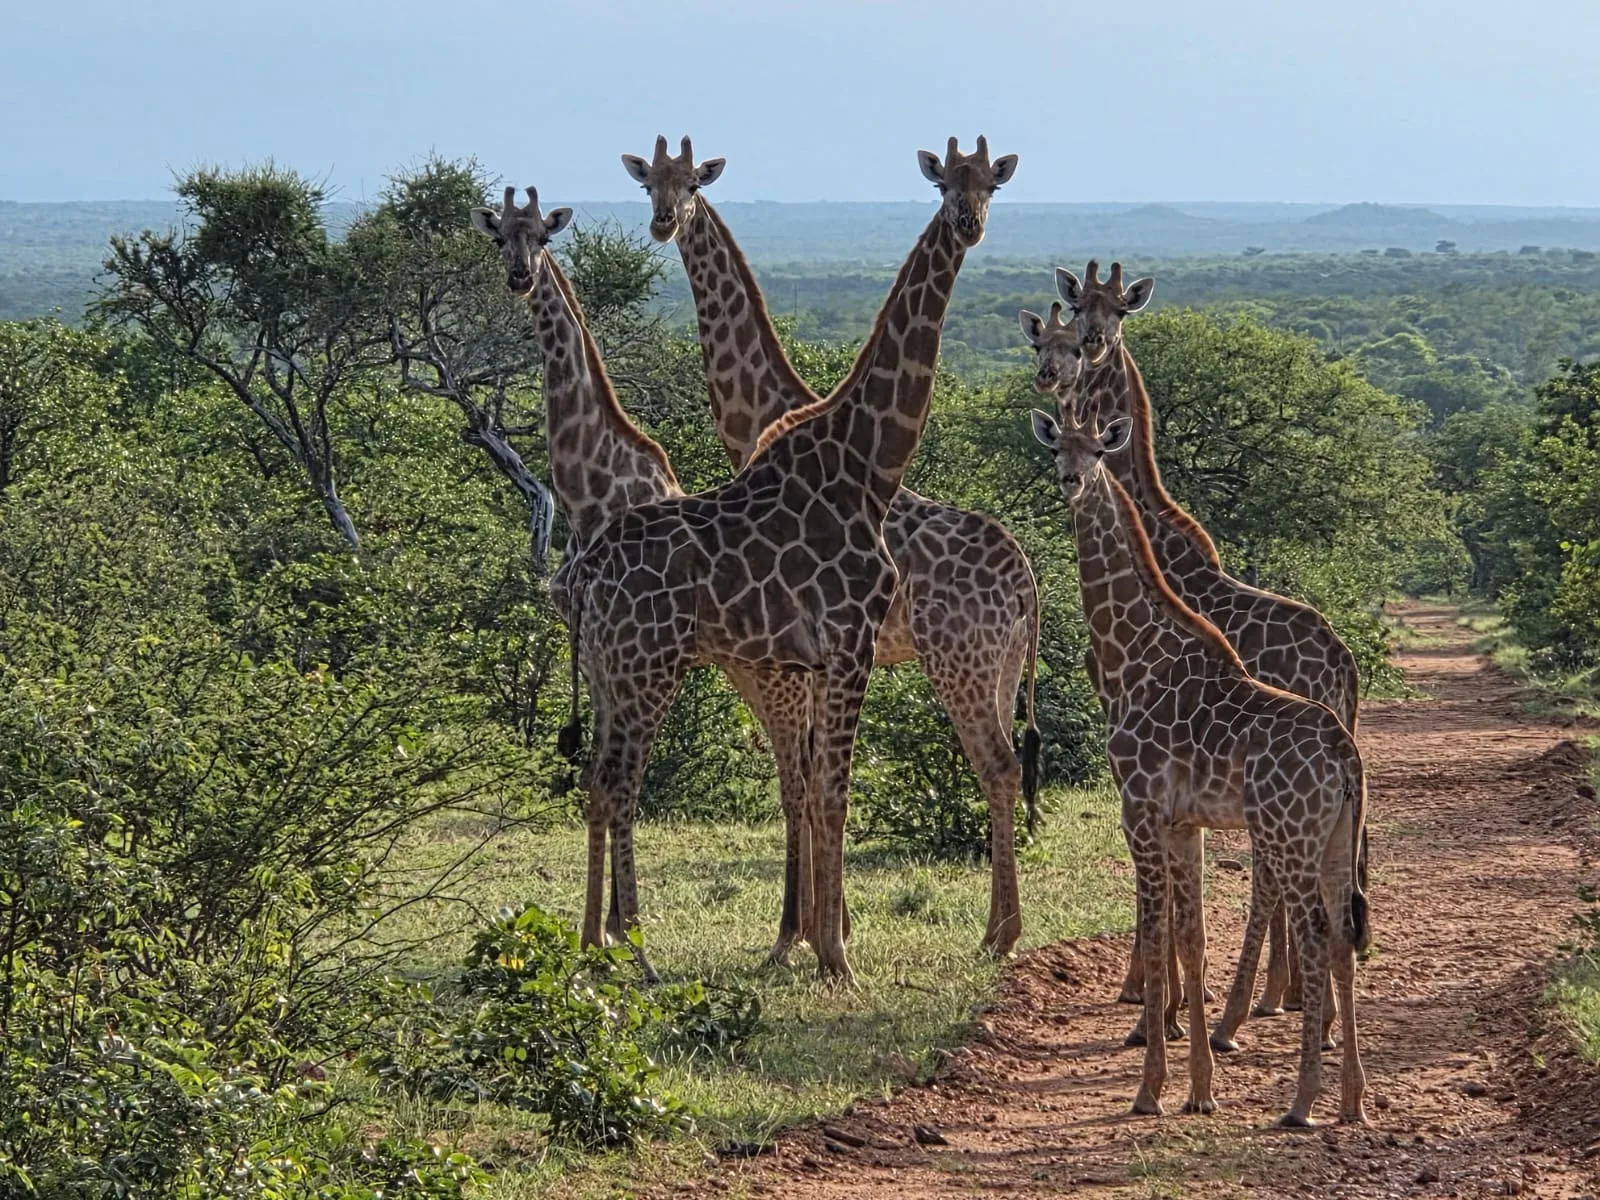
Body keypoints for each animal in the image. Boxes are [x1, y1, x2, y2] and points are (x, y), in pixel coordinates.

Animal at [469, 187, 815, 955]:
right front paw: (597, 932)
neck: (587, 489)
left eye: (541, 235)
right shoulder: (592, 647)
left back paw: (796, 933)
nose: (518, 277)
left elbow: (619, 783)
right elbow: (598, 779)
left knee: (797, 769)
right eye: (499, 236)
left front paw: (616, 931)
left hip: (768, 676)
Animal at [562, 138, 1018, 984]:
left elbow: (819, 792)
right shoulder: (839, 645)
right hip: (648, 665)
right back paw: (630, 951)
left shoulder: (827, 652)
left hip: (966, 665)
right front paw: (826, 949)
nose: (969, 224)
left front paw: (817, 941)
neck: (865, 461)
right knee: (615, 781)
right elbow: (825, 793)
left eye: (990, 186)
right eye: (947, 185)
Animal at [1023, 262, 1364, 1039]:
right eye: (1058, 327)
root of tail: (1344, 665)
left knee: (1275, 876)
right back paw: (1291, 1000)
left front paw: (1152, 999)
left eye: (1110, 315)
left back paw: (1241, 1013)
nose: (1062, 366)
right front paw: (1169, 998)